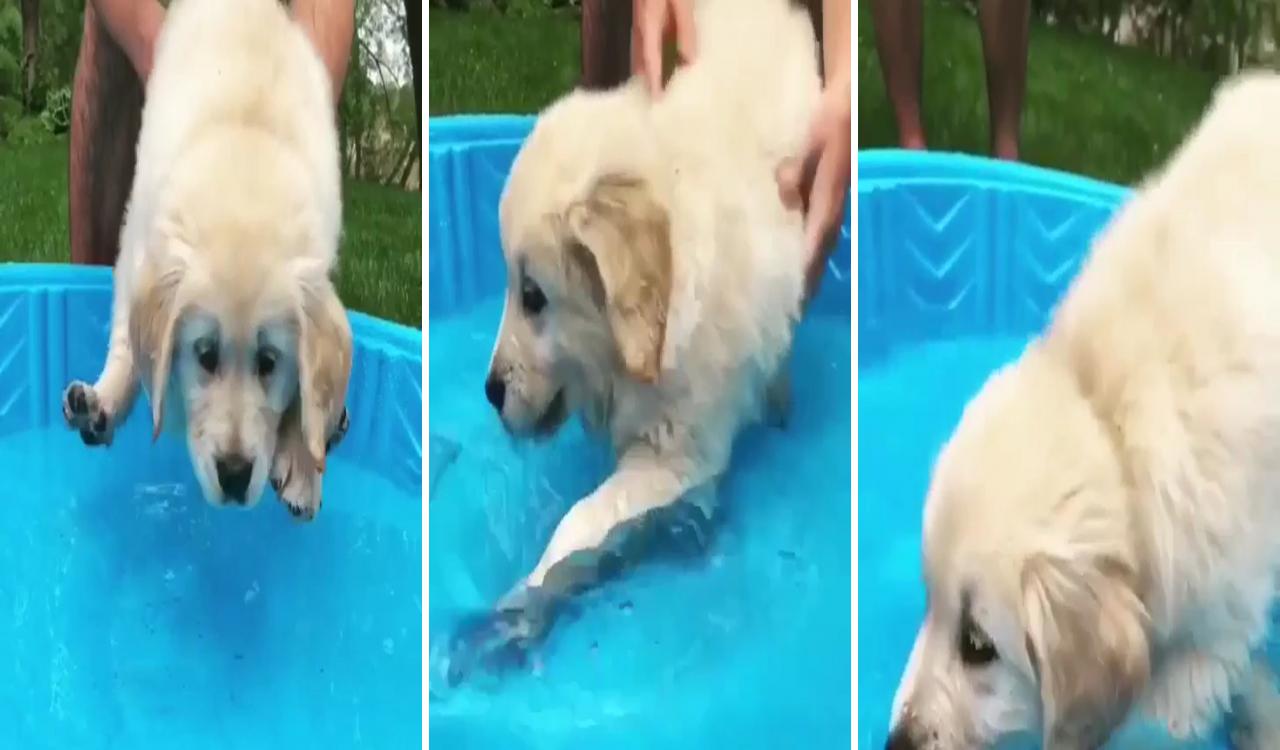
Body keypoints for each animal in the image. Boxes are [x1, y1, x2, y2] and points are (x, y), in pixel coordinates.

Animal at [60, 0, 350, 519]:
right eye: (205, 355)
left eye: (269, 361)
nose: (234, 475)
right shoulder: (138, 247)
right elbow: (127, 343)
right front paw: (107, 399)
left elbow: (310, 387)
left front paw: (303, 459)